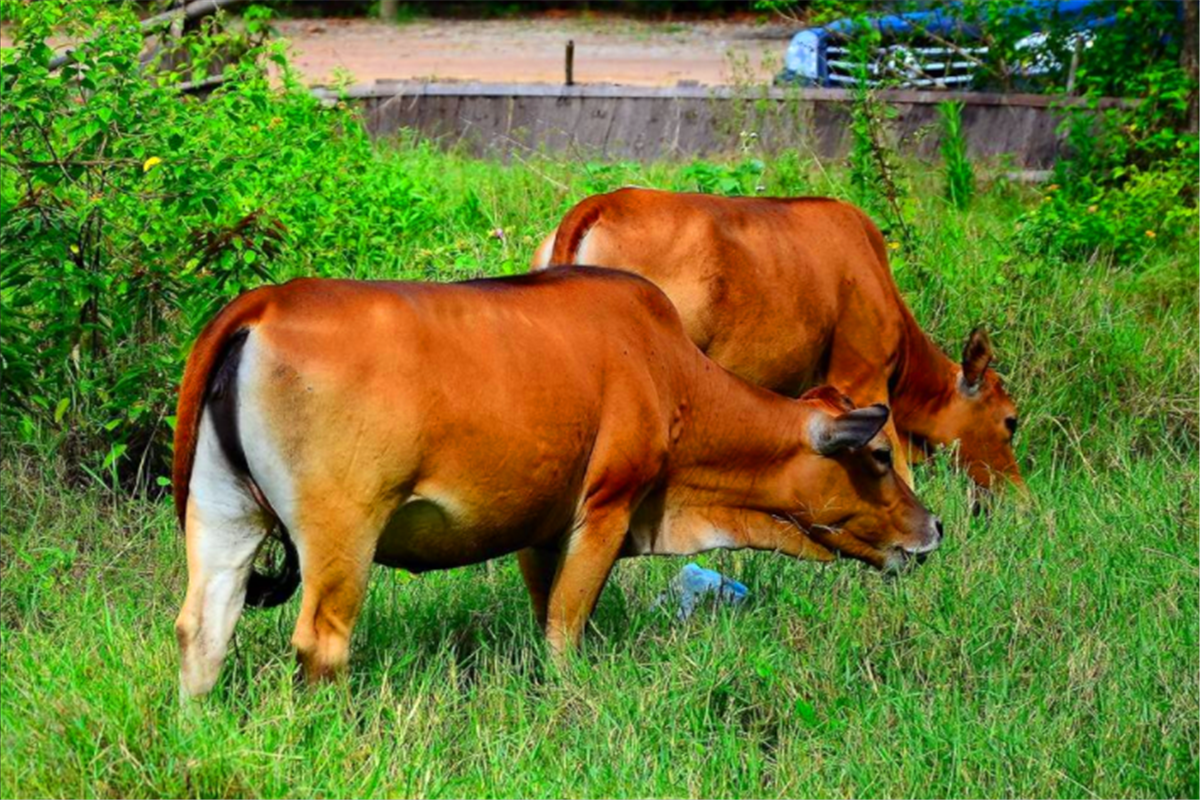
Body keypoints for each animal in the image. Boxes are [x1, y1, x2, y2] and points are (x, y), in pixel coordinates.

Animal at [171, 266, 936, 695]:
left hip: (224, 516)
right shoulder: (606, 509)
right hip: (343, 531)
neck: (669, 373)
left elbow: (544, 617)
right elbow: (567, 632)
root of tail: (266, 305)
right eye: (879, 457)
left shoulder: (538, 532)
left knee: (202, 629)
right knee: (322, 644)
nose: (932, 528)